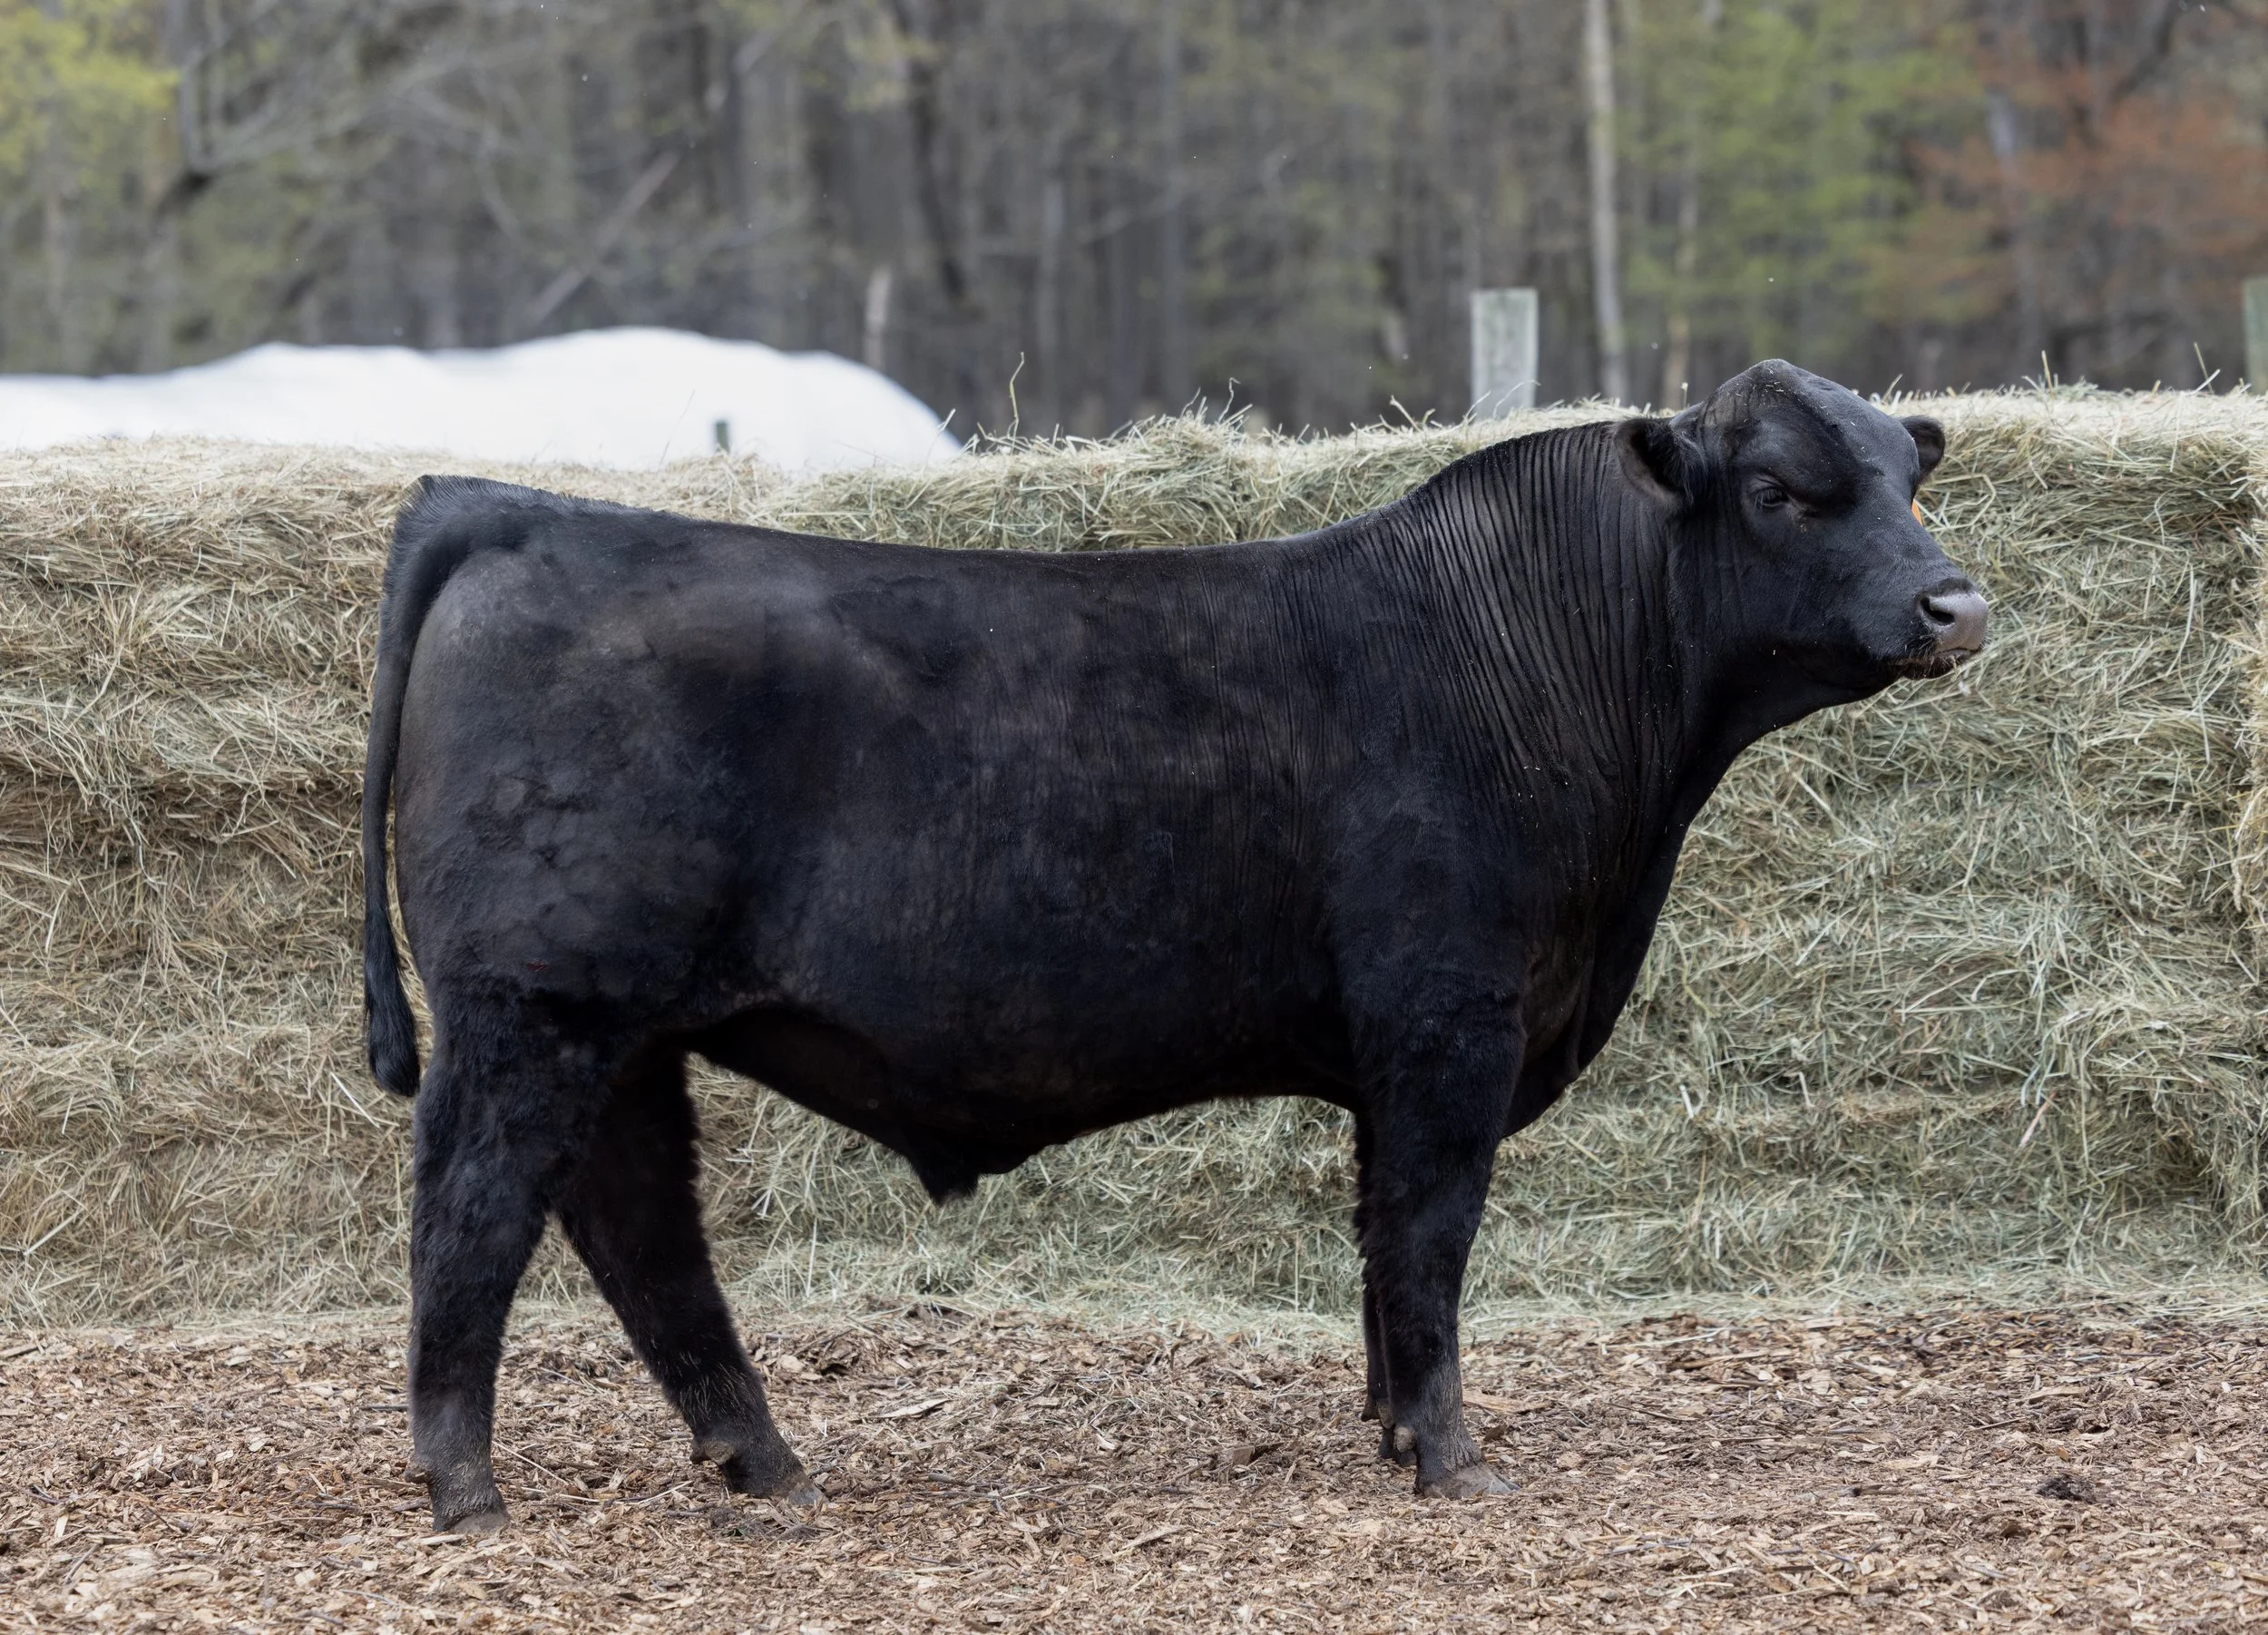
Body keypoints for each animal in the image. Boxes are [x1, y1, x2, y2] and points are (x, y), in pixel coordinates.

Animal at [360, 359, 1984, 1533]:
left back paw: (762, 1461)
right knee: (477, 1213)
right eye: (1778, 490)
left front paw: (1389, 1426)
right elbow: (1431, 1232)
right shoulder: (1448, 1018)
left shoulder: (1401, 1049)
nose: (1953, 600)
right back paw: (468, 1486)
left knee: (639, 1230)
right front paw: (1451, 1454)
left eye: (1909, 478)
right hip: (539, 1008)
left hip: (618, 1035)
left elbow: (1380, 1232)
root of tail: (505, 507)